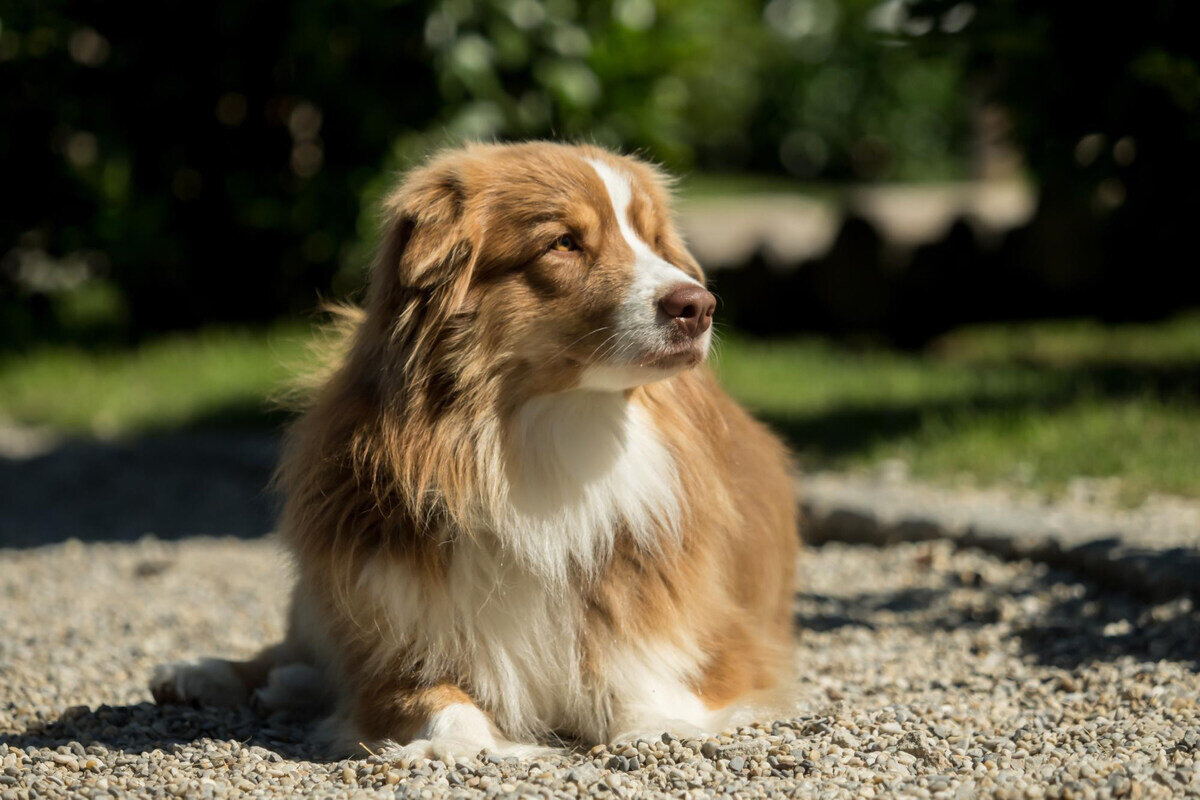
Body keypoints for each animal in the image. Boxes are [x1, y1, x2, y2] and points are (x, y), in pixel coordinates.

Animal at [154, 140, 801, 762]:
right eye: (564, 243)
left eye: (653, 240)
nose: (699, 305)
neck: (547, 441)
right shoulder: (395, 626)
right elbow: (430, 695)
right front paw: (454, 742)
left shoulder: (706, 628)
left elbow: (645, 678)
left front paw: (657, 728)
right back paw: (203, 673)